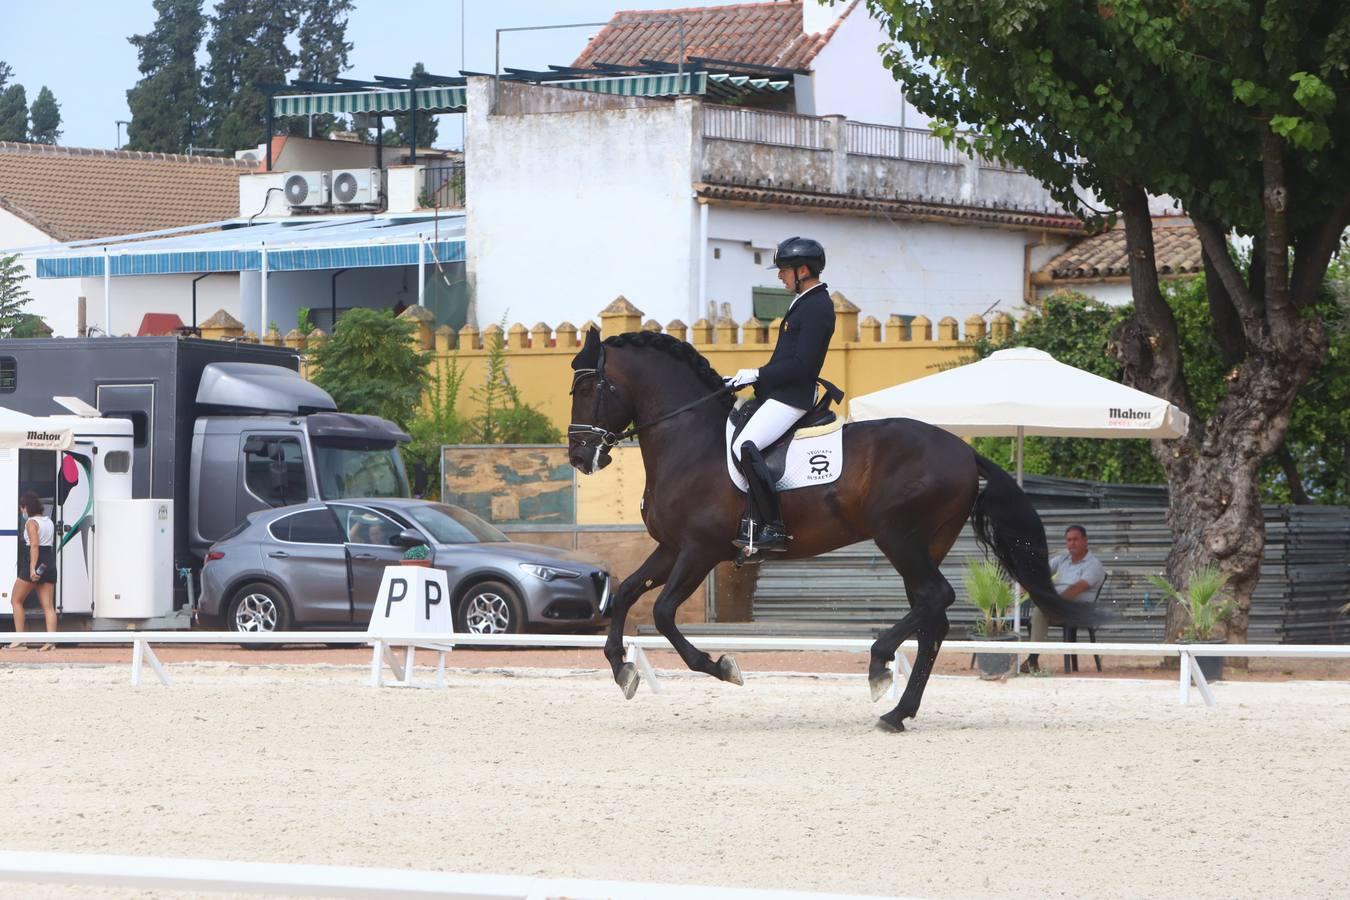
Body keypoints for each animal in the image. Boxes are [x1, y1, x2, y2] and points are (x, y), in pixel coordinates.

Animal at [567, 330, 1096, 734]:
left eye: (588, 388)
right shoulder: (671, 548)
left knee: (935, 598)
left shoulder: (699, 550)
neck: (691, 443)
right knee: (933, 614)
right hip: (927, 542)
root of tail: (964, 451)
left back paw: (880, 665)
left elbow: (662, 613)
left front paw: (722, 667)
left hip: (897, 535)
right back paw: (898, 712)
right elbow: (626, 595)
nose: (578, 457)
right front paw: (622, 668)